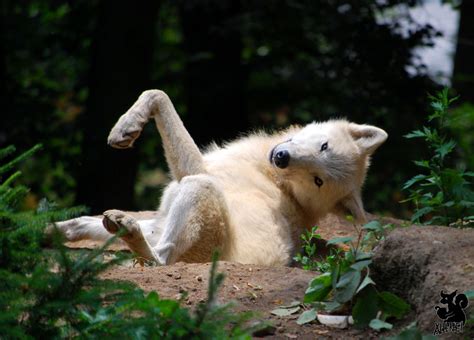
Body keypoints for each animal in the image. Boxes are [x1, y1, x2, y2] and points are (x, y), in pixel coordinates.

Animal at [56, 89, 388, 266]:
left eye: (317, 179)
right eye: (323, 146)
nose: (282, 158)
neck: (274, 178)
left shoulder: (195, 169)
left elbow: (159, 96)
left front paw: (126, 128)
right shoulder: (160, 220)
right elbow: (86, 224)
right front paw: (54, 230)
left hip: (200, 187)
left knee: (160, 259)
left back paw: (136, 241)